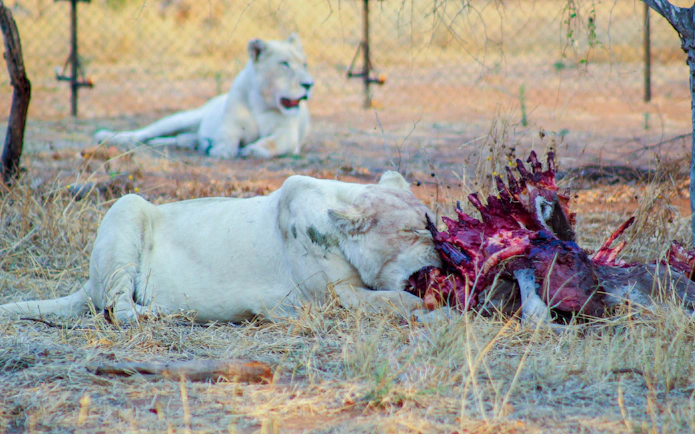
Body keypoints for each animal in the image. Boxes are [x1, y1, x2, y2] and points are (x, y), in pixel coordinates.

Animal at [0, 172, 442, 324]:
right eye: (413, 230)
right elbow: (399, 300)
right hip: (126, 207)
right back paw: (174, 313)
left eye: (432, 221)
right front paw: (438, 308)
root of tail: (88, 282)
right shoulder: (336, 297)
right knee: (119, 309)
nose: (441, 253)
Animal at [94, 34, 313, 159]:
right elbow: (226, 139)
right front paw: (221, 150)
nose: (309, 84)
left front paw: (253, 150)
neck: (262, 103)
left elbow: (273, 142)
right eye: (284, 64)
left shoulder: (288, 134)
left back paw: (191, 142)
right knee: (143, 134)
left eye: (304, 64)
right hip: (182, 118)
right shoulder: (230, 126)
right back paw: (108, 136)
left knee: (171, 139)